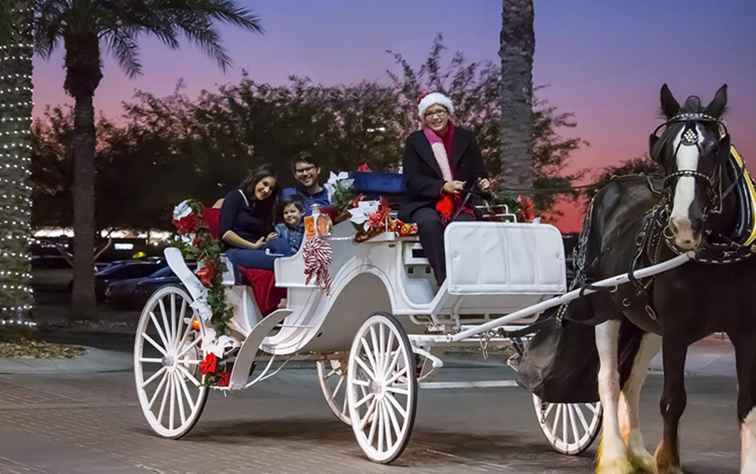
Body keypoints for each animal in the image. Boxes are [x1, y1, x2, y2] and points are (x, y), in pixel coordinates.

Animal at [568, 83, 756, 472]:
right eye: (665, 151)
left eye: (714, 150)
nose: (684, 225)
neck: (717, 256)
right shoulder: (676, 331)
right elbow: (673, 400)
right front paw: (669, 461)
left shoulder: (747, 331)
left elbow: (746, 405)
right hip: (607, 311)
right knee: (608, 381)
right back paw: (615, 457)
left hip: (645, 326)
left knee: (633, 382)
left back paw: (637, 452)